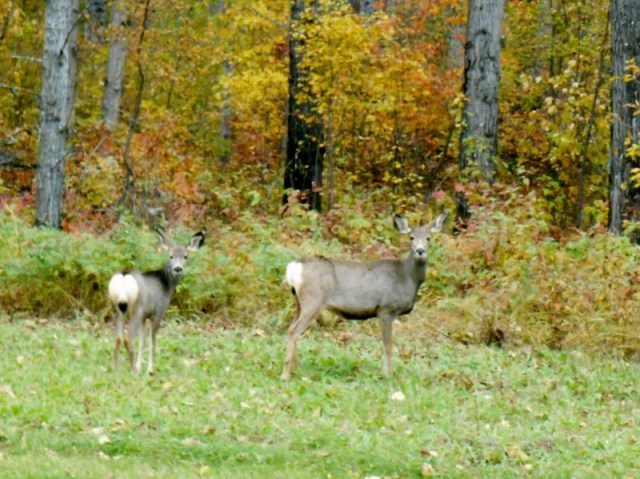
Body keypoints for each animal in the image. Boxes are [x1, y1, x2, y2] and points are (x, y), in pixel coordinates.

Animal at [108, 229, 205, 375]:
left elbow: (142, 341)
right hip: (136, 308)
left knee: (118, 338)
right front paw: (149, 370)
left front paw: (139, 366)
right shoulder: (158, 311)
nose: (178, 269)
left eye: (185, 256)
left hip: (116, 308)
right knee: (128, 339)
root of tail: (124, 275)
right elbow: (152, 342)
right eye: (171, 256)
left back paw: (117, 370)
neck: (166, 285)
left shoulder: (145, 316)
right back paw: (133, 372)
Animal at [281, 212, 447, 380]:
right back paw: (286, 375)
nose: (420, 250)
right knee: (294, 330)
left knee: (291, 329)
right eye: (411, 237)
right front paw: (387, 375)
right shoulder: (386, 309)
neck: (407, 278)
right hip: (313, 300)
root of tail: (294, 266)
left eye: (428, 238)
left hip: (299, 302)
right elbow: (388, 345)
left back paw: (298, 370)